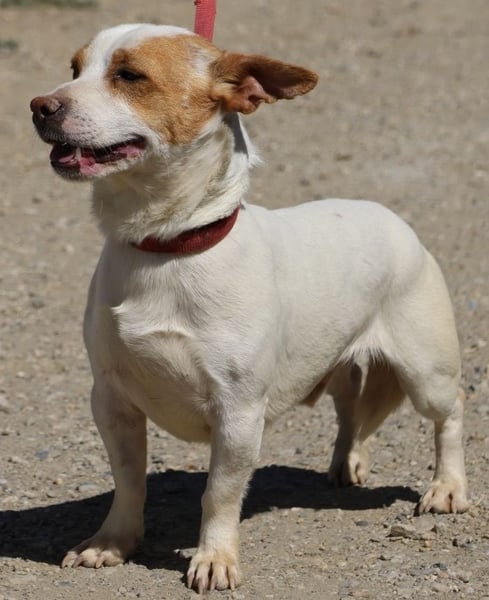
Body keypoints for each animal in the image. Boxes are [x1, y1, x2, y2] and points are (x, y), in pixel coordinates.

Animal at [30, 23, 468, 592]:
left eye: (129, 75)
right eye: (75, 68)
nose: (40, 106)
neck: (165, 248)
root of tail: (393, 219)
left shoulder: (237, 414)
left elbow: (218, 494)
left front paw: (214, 558)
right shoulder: (111, 399)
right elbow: (128, 481)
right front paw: (112, 543)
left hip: (425, 371)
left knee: (451, 413)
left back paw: (448, 488)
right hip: (343, 366)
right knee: (351, 412)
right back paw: (347, 463)